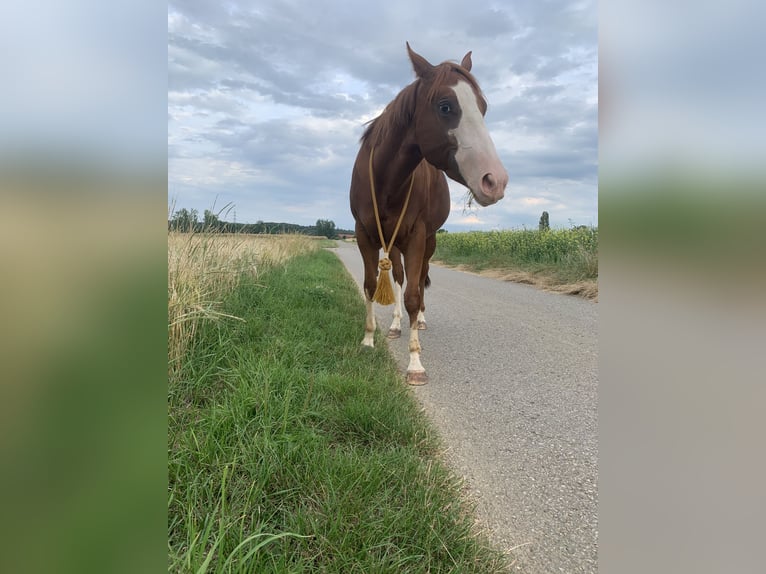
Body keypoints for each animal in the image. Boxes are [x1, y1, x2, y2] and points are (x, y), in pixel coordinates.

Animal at [350, 44, 508, 388]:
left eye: (483, 108)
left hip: (428, 241)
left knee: (420, 278)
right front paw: (368, 340)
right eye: (446, 106)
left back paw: (418, 320)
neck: (385, 181)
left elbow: (413, 294)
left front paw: (414, 363)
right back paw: (396, 325)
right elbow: (371, 285)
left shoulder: (418, 237)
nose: (495, 181)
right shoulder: (364, 234)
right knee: (398, 276)